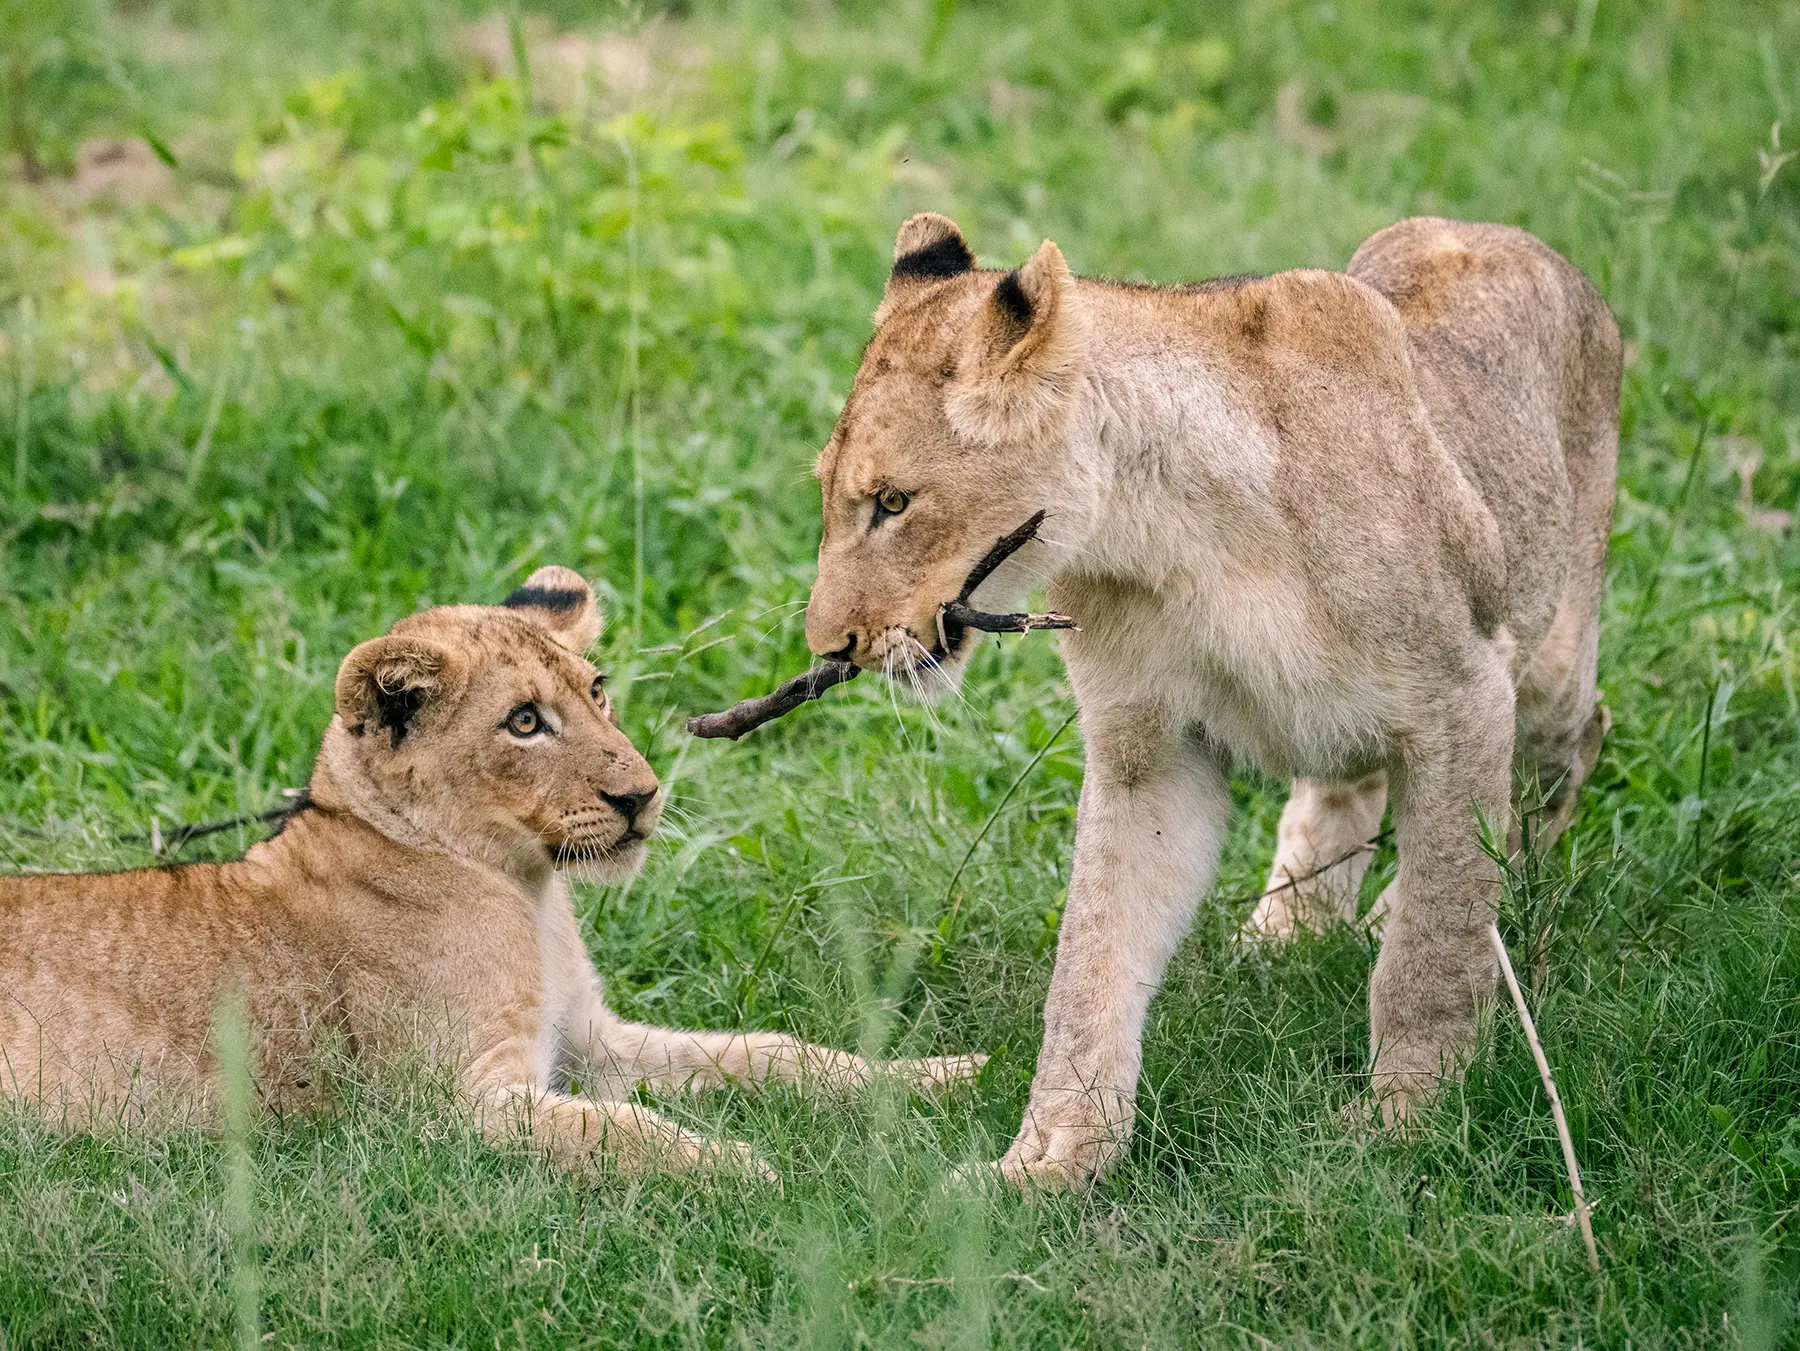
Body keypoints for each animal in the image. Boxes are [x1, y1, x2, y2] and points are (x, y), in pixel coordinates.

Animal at [0, 568, 982, 1178]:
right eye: (523, 722)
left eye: (596, 691)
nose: (642, 794)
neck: (529, 893)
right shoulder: (455, 1101)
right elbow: (614, 1132)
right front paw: (745, 1167)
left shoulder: (592, 1041)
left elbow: (775, 1053)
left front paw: (947, 1074)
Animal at [803, 214, 1618, 1187]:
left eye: (893, 501)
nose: (828, 646)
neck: (1168, 537)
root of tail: (1505, 233)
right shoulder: (1149, 750)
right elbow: (1092, 957)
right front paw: (1052, 1158)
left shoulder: (1463, 696)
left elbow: (1436, 940)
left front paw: (1407, 1120)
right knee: (1342, 785)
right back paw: (1290, 931)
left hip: (1548, 667)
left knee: (1559, 760)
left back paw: (1495, 907)